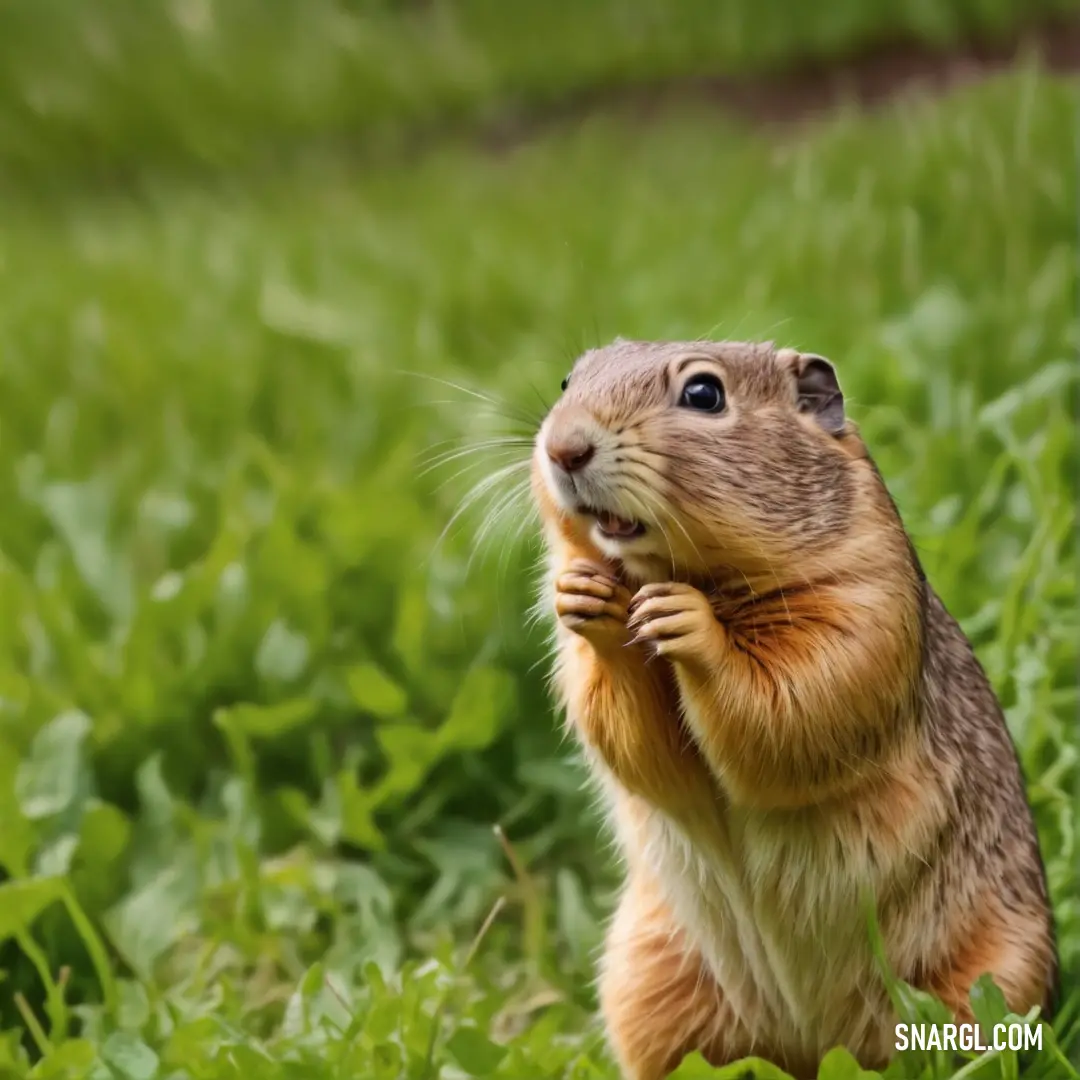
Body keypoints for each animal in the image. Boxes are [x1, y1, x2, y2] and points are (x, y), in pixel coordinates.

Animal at [531, 339, 1054, 1080]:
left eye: (703, 394)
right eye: (567, 380)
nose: (564, 447)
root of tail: (812, 1046)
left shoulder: (861, 605)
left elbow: (793, 706)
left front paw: (691, 623)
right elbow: (639, 742)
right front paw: (584, 595)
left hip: (988, 982)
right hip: (650, 988)